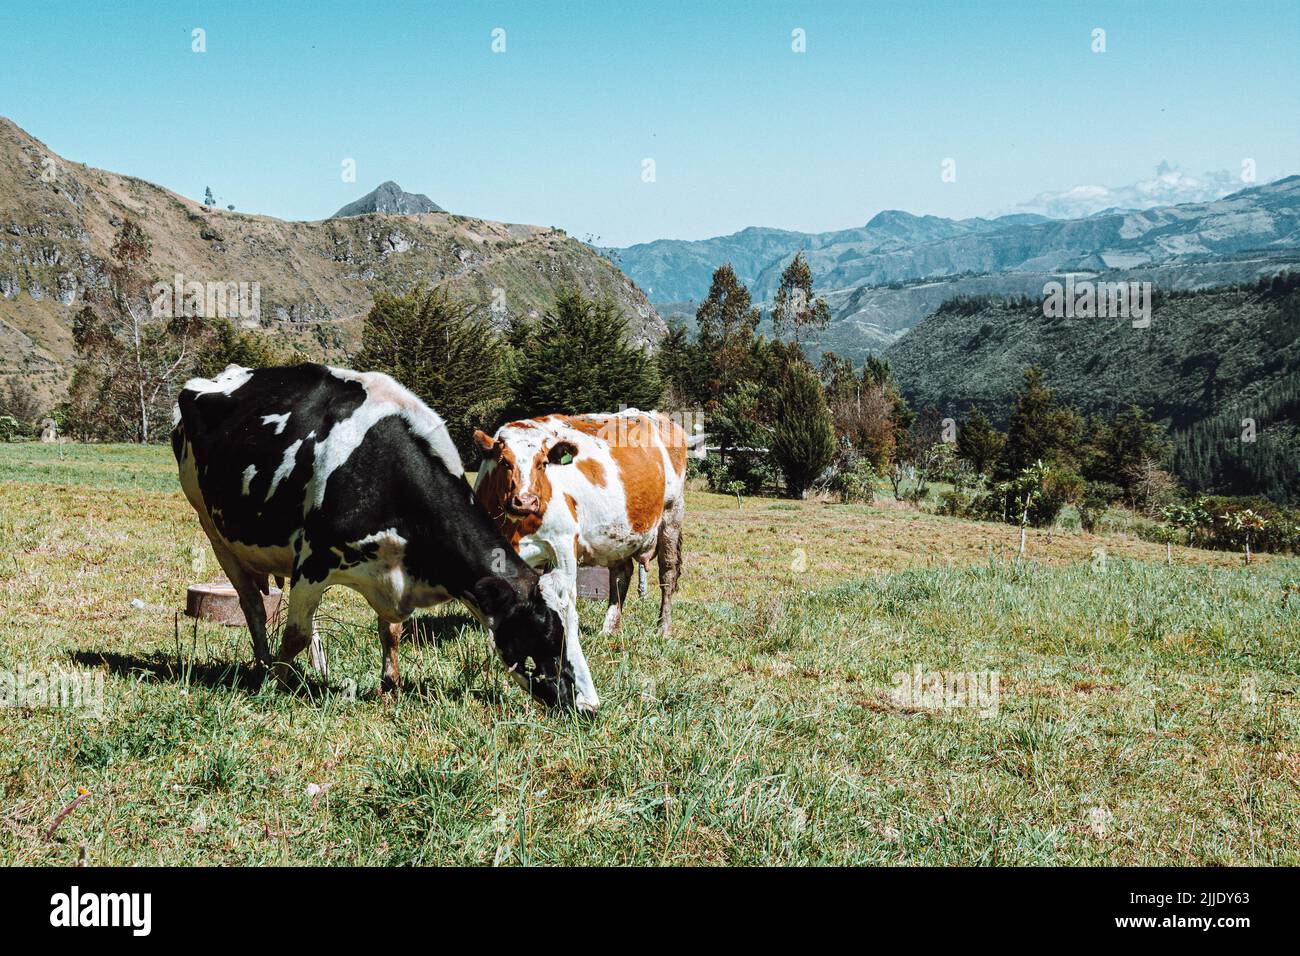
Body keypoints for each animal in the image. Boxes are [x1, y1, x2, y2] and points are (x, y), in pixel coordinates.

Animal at [172, 364, 598, 712]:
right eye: (546, 630)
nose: (589, 707)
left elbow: (390, 631)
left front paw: (390, 685)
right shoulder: (314, 560)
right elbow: (294, 634)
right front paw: (275, 683)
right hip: (215, 532)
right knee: (253, 606)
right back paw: (264, 663)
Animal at [470, 411, 691, 686]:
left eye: (543, 463)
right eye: (504, 461)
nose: (525, 501)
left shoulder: (564, 544)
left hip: (672, 514)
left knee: (667, 575)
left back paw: (663, 628)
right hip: (618, 535)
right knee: (621, 575)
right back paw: (609, 628)